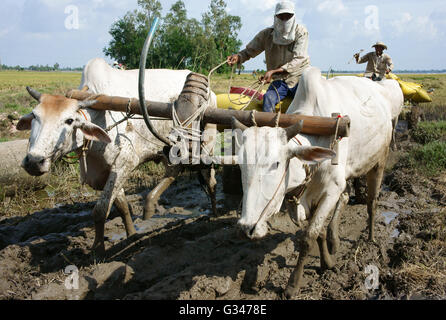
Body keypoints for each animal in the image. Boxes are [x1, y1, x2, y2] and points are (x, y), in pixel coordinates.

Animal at [17, 57, 218, 256]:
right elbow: (121, 206)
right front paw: (132, 235)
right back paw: (150, 203)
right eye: (34, 116)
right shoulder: (108, 170)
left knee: (210, 180)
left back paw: (214, 213)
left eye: (69, 120)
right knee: (174, 170)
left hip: (205, 146)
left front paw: (98, 251)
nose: (34, 161)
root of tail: (212, 93)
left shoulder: (124, 163)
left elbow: (100, 210)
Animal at [233, 66, 404, 298]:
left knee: (371, 202)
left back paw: (370, 239)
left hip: (379, 160)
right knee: (346, 197)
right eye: (241, 165)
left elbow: (308, 237)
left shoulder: (330, 190)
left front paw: (292, 285)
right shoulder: (314, 196)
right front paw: (327, 262)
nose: (246, 228)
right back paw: (335, 240)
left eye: (276, 163)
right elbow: (320, 231)